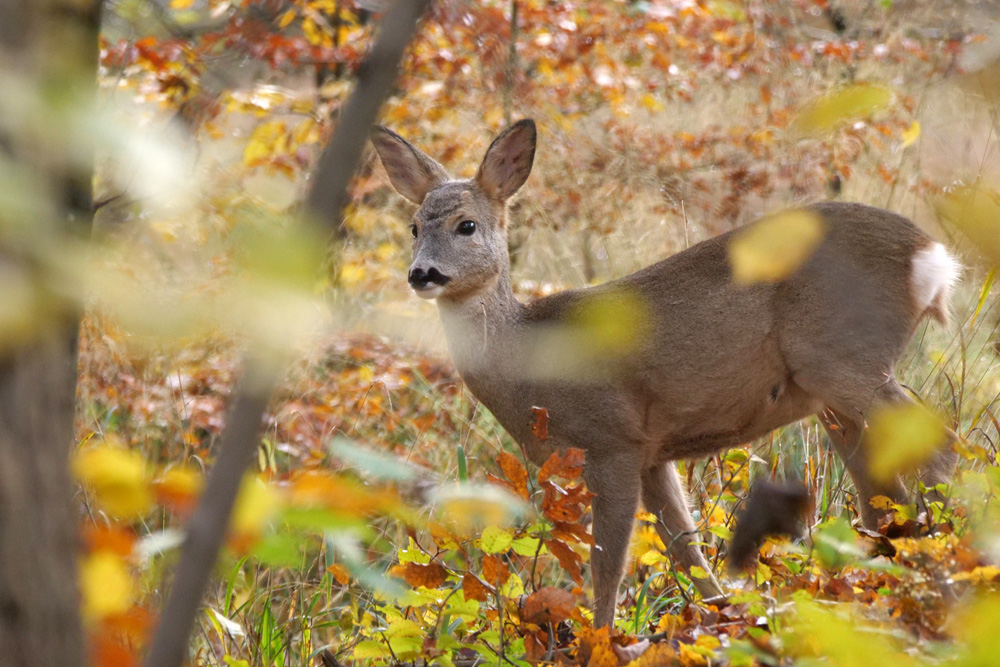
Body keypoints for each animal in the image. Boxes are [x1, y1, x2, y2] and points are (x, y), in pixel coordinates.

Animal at [374, 121, 960, 632]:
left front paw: (600, 640)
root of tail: (933, 257)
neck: (530, 359)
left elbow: (608, 563)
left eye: (466, 225)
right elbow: (686, 550)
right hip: (832, 395)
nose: (421, 273)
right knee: (883, 498)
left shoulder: (612, 439)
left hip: (842, 357)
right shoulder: (653, 453)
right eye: (413, 227)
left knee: (941, 446)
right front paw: (725, 617)